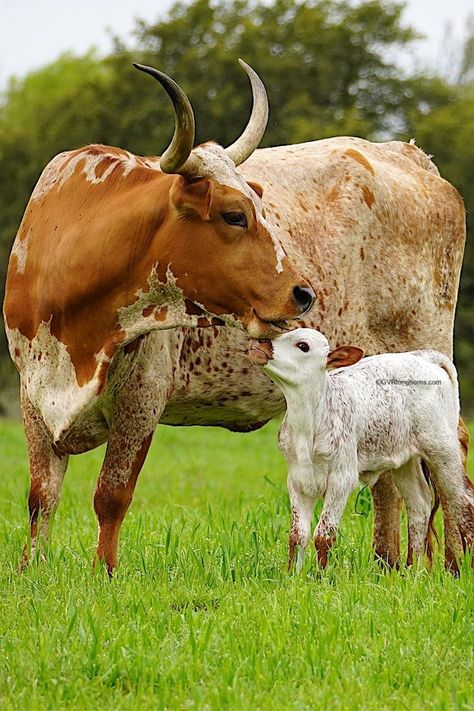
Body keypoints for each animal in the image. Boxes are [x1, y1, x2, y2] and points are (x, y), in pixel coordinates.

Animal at [250, 330, 472, 572]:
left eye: (303, 346)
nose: (259, 344)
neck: (310, 422)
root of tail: (424, 357)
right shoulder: (298, 481)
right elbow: (297, 535)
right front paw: (294, 575)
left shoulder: (342, 479)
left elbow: (323, 535)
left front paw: (320, 576)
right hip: (405, 460)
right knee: (419, 506)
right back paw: (412, 571)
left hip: (442, 450)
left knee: (462, 503)